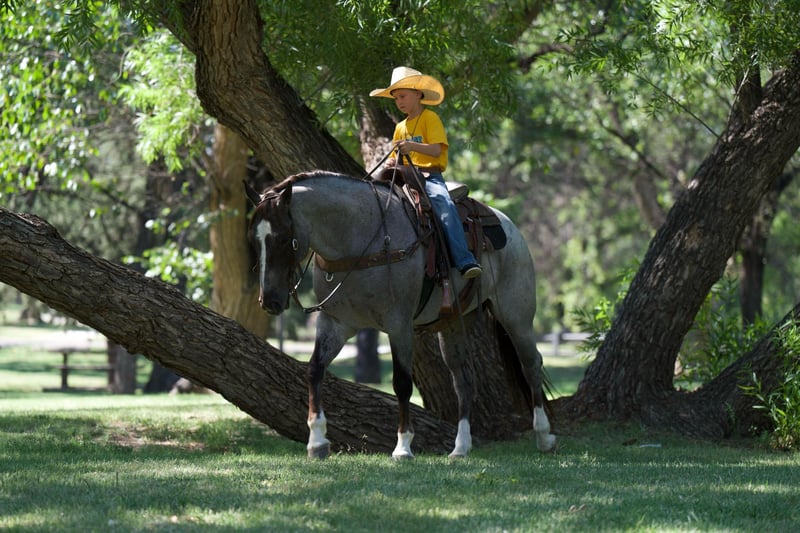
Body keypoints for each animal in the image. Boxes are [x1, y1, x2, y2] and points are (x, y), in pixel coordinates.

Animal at [246, 170, 555, 459]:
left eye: (284, 238)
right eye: (254, 240)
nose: (269, 301)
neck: (358, 239)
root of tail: (509, 227)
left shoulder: (399, 326)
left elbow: (402, 384)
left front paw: (403, 446)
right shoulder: (335, 323)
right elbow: (314, 370)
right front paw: (317, 441)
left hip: (516, 316)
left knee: (531, 365)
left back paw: (544, 436)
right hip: (454, 324)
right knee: (464, 381)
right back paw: (460, 447)